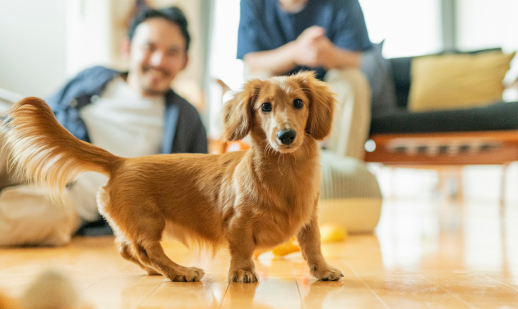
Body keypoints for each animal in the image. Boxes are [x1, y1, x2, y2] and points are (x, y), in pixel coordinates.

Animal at [4, 71, 348, 282]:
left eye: (299, 103)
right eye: (265, 107)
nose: (286, 136)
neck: (284, 172)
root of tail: (121, 162)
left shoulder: (309, 219)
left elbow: (312, 245)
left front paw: (323, 270)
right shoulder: (237, 222)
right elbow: (241, 250)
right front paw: (241, 273)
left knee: (126, 248)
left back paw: (158, 272)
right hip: (149, 220)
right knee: (145, 248)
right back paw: (179, 271)